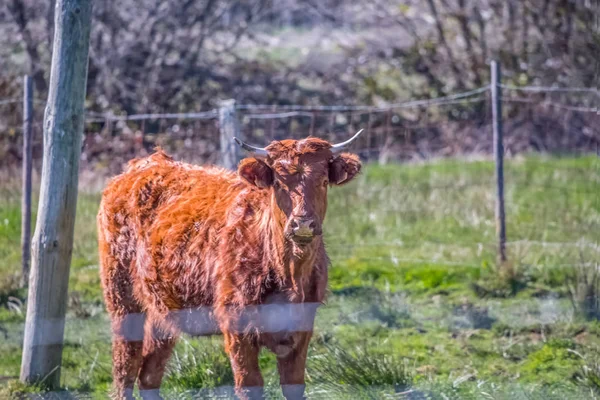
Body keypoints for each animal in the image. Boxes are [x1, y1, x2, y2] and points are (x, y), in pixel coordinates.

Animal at [97, 130, 366, 398]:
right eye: (279, 183)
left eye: (323, 182)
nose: (303, 224)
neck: (289, 276)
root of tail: (145, 164)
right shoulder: (237, 323)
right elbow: (249, 385)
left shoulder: (302, 326)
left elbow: (294, 385)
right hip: (121, 296)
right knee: (125, 366)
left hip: (161, 306)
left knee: (150, 373)